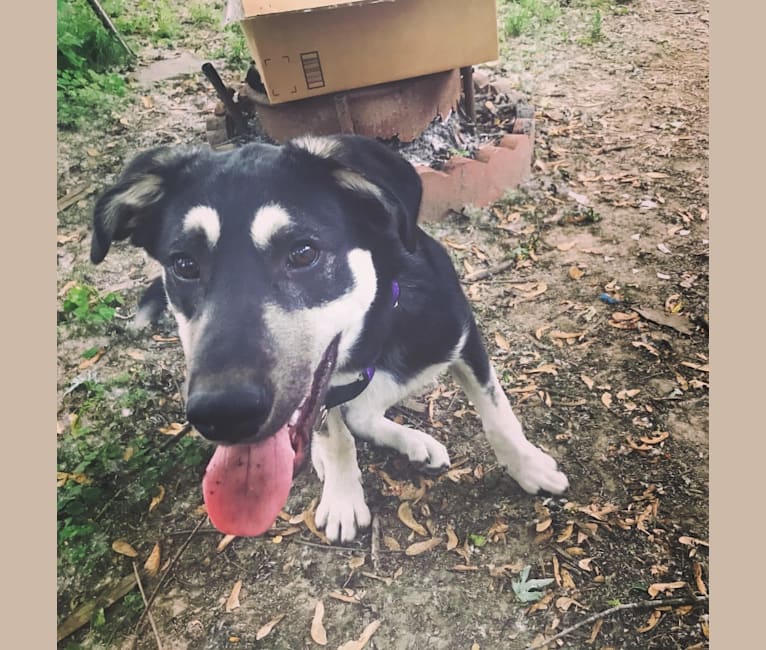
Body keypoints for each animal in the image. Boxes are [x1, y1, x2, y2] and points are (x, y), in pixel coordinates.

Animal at [91, 133, 568, 540]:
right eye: (184, 264)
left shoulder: (462, 337)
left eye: (303, 252)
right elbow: (337, 439)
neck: (374, 331)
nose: (223, 415)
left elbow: (499, 415)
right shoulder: (324, 396)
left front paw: (530, 468)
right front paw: (341, 498)